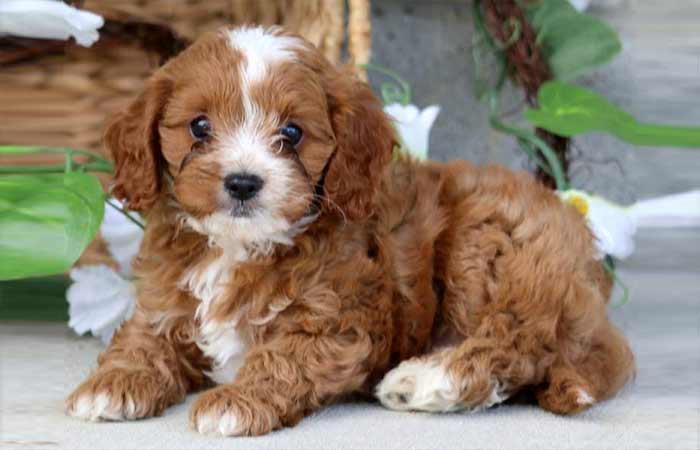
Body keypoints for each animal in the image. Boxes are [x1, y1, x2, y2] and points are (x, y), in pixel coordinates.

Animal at [65, 26, 636, 434]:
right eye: (199, 127)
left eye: (292, 132)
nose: (243, 182)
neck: (238, 245)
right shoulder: (164, 299)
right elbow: (142, 337)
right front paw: (111, 382)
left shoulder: (340, 321)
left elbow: (285, 356)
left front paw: (236, 401)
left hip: (487, 241)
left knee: (519, 342)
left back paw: (426, 379)